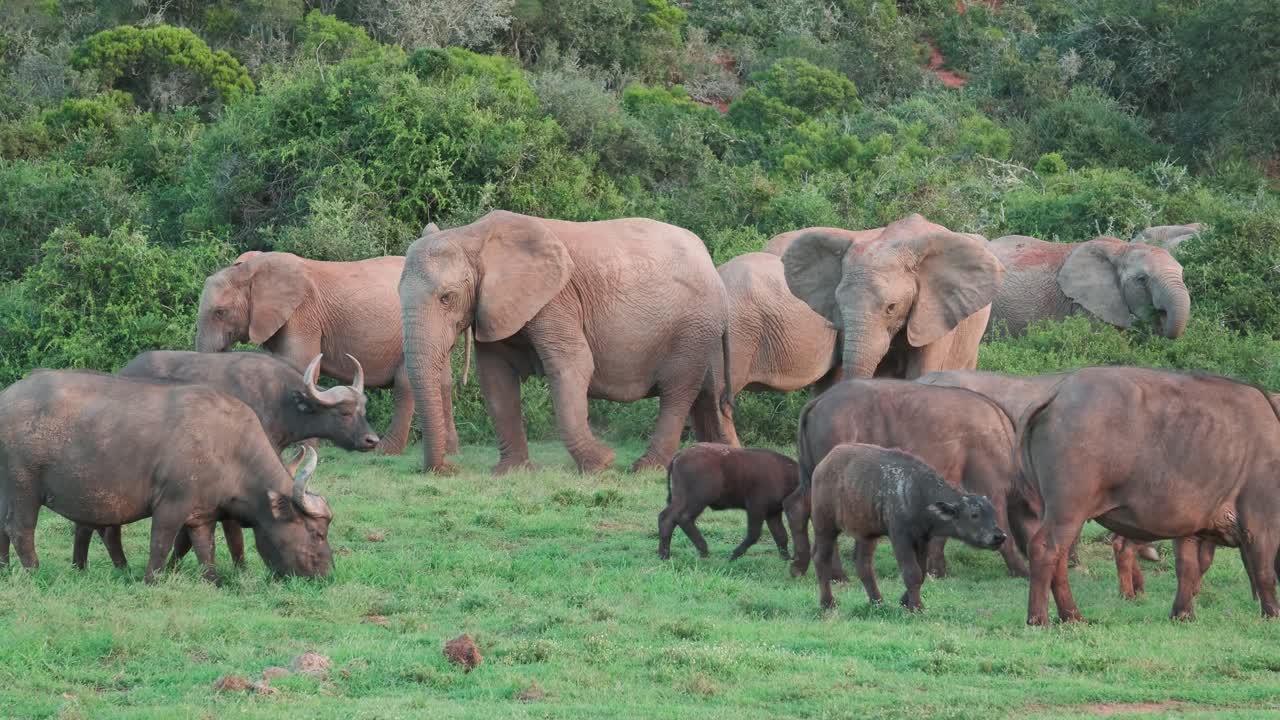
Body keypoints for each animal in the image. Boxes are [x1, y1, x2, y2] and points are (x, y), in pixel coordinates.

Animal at [195, 246, 470, 455]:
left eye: (220, 313)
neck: (250, 271)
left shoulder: (302, 314)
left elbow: (301, 366)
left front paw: (301, 448)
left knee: (405, 382)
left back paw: (384, 452)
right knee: (442, 380)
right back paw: (451, 452)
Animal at [398, 210, 733, 476]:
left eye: (447, 298)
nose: (448, 469)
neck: (471, 235)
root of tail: (711, 264)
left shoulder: (556, 299)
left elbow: (572, 365)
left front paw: (602, 464)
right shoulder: (495, 305)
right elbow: (495, 378)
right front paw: (510, 472)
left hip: (693, 329)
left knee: (677, 392)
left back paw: (645, 469)